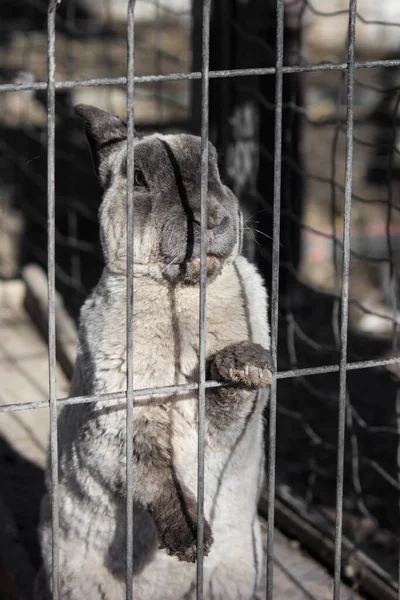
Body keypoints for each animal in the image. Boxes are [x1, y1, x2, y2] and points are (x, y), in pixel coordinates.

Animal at [35, 105, 272, 600]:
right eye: (140, 178)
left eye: (216, 167)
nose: (209, 219)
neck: (183, 294)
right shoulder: (121, 418)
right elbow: (157, 478)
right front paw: (190, 541)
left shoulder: (224, 427)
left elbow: (230, 401)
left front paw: (244, 362)